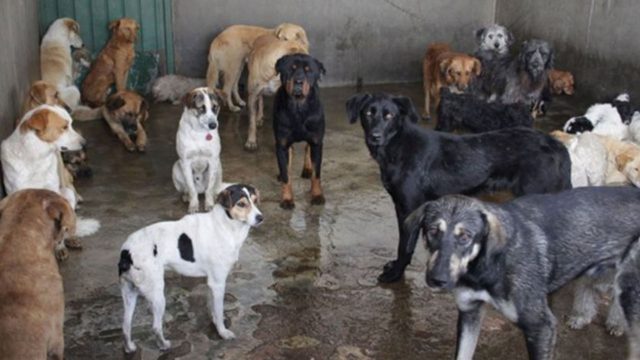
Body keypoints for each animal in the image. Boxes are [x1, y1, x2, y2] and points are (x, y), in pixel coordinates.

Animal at [119, 184, 264, 352]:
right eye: (241, 204)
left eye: (255, 201)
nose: (261, 218)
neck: (225, 226)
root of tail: (126, 252)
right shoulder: (218, 283)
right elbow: (219, 310)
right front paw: (222, 332)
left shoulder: (212, 283)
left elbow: (213, 307)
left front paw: (215, 322)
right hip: (157, 295)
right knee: (155, 327)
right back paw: (164, 345)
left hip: (129, 294)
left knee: (125, 326)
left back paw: (129, 348)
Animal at [272, 53, 328, 208]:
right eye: (291, 69)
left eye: (309, 70)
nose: (298, 81)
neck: (298, 108)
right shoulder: (282, 144)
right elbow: (286, 174)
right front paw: (287, 199)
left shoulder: (317, 142)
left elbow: (316, 174)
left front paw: (317, 195)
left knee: (307, 148)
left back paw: (307, 168)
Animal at [348, 93, 572, 284]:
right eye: (368, 113)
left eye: (390, 116)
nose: (375, 136)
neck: (398, 146)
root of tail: (556, 145)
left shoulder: (409, 208)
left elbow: (404, 246)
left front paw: (395, 274)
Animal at [404, 186, 640, 360]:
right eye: (433, 231)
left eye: (465, 237)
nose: (437, 279)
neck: (485, 268)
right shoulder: (470, 312)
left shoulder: (541, 327)